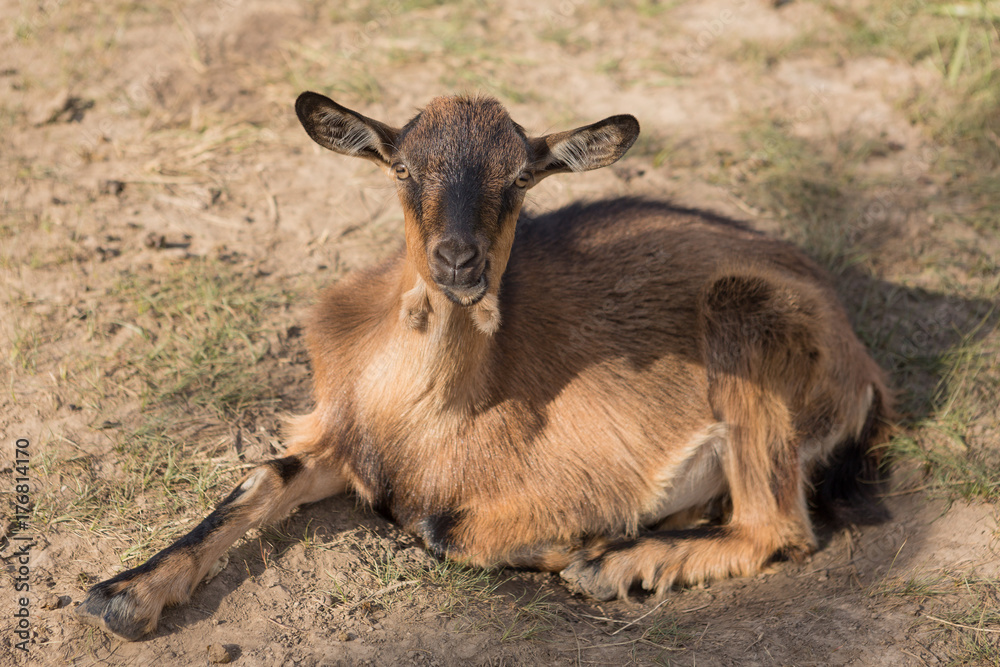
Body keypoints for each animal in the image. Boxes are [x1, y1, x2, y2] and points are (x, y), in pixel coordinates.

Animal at [77, 92, 893, 640]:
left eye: (521, 178)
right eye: (402, 166)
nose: (458, 261)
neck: (420, 412)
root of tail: (854, 348)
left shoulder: (566, 479)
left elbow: (439, 528)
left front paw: (588, 545)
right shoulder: (339, 434)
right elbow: (260, 479)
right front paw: (123, 594)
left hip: (741, 318)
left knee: (778, 527)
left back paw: (615, 563)